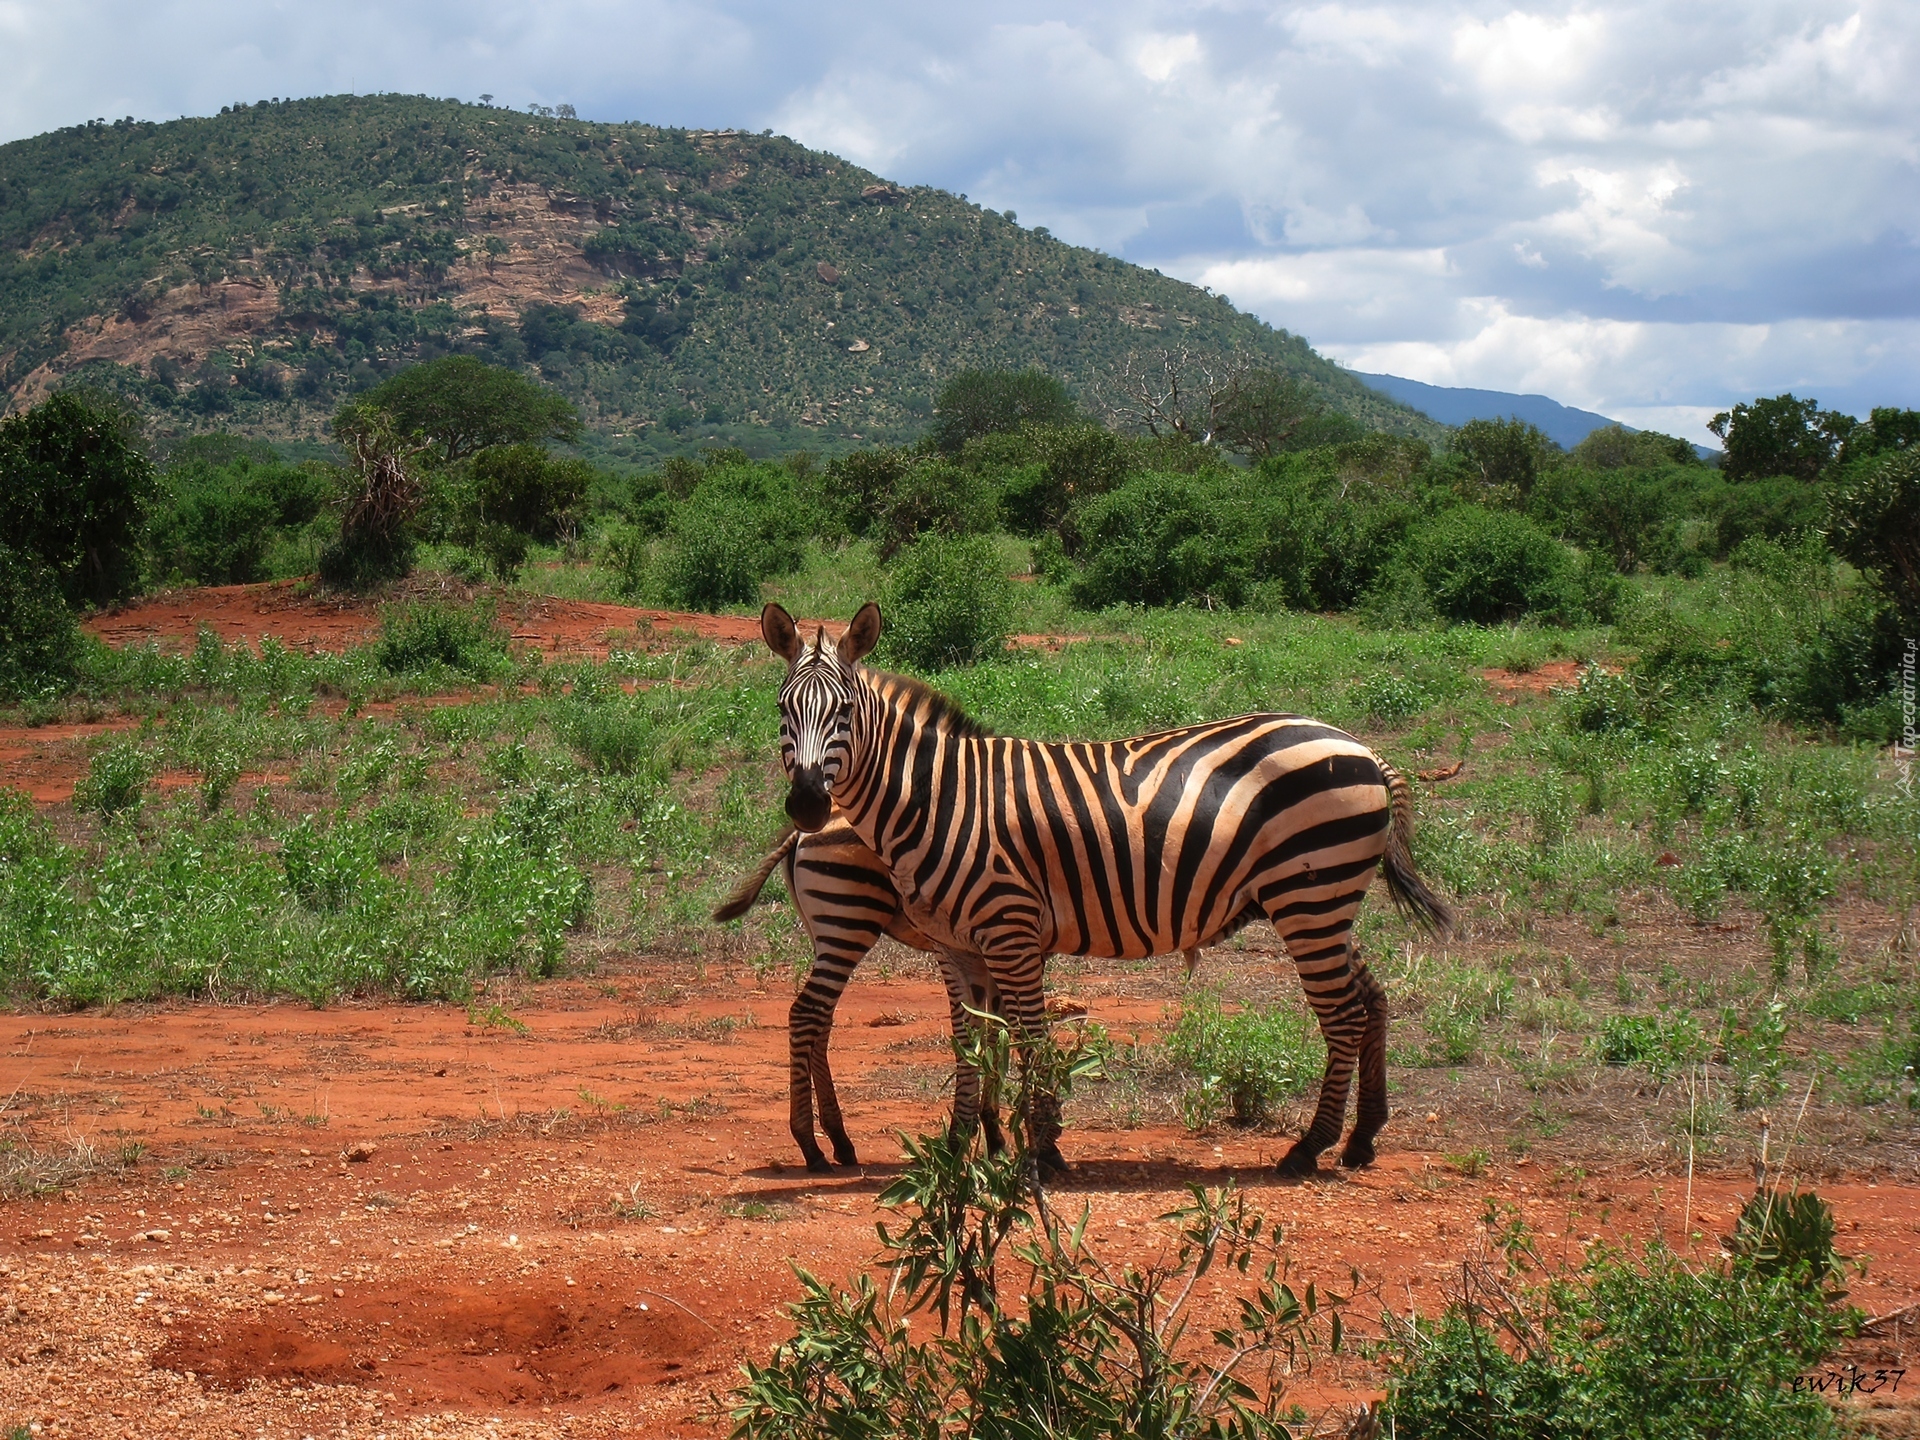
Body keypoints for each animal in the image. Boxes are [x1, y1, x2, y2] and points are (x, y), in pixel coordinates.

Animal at [714, 821, 1013, 1175]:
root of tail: (800, 834)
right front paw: (991, 1138)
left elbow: (992, 1031)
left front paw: (991, 1135)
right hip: (850, 919)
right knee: (806, 1013)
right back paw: (811, 1146)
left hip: (824, 932)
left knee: (820, 1020)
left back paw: (839, 1140)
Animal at [756, 602, 1443, 1175]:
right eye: (783, 711)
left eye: (844, 712)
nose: (807, 805)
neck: (940, 799)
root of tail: (1362, 748)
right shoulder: (960, 944)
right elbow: (972, 1042)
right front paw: (961, 1149)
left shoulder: (1010, 929)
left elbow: (1028, 1038)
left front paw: (1040, 1148)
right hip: (1324, 902)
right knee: (1370, 998)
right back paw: (1361, 1139)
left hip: (1309, 897)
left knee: (1343, 1012)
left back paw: (1309, 1148)